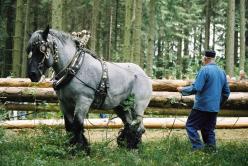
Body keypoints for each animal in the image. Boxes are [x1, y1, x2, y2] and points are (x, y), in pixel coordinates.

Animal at [26, 26, 151, 154]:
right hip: (121, 106)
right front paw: (72, 147)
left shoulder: (83, 101)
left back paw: (135, 147)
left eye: (41, 50)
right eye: (29, 50)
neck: (75, 67)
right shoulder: (64, 103)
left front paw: (80, 150)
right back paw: (127, 145)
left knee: (139, 127)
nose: (32, 74)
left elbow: (77, 125)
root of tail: (144, 74)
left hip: (138, 106)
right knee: (129, 124)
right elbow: (69, 126)